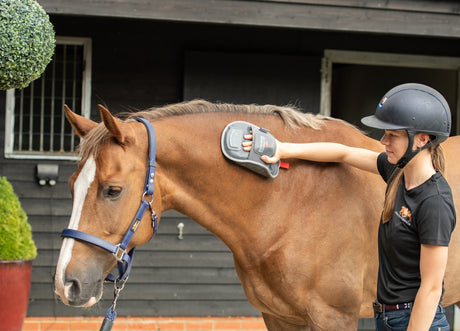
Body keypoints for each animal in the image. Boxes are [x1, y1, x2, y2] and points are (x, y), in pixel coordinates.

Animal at [54, 101, 460, 331]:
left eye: (112, 190)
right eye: (72, 186)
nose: (65, 284)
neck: (293, 199)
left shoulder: (335, 318)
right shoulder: (280, 317)